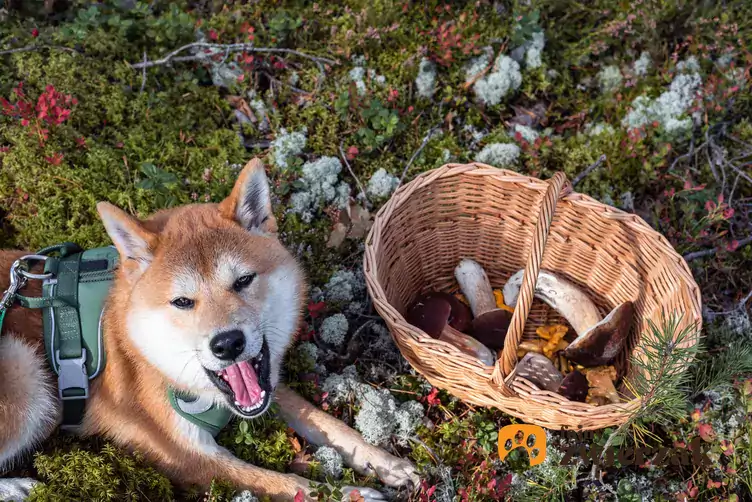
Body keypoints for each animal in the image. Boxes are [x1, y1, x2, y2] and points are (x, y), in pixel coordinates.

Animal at [0, 160, 418, 502]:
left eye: (244, 280)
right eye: (183, 302)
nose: (227, 344)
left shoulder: (266, 385)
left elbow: (326, 422)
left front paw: (384, 463)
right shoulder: (187, 457)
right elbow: (289, 484)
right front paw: (352, 493)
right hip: (27, 377)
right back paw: (17, 487)